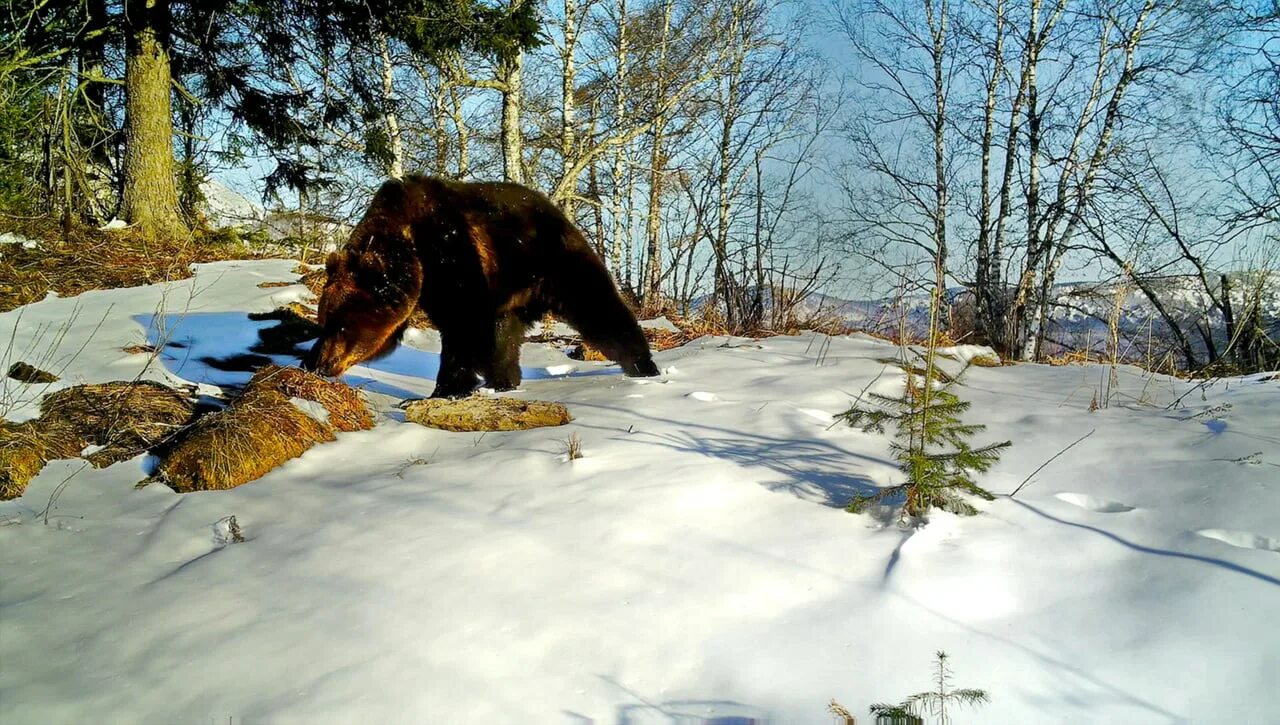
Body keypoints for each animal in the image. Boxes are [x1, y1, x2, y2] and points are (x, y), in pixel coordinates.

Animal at [302, 174, 660, 397]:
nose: (318, 363)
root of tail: (555, 209)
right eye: (324, 321)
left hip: (554, 262)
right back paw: (504, 380)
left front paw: (446, 389)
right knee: (505, 337)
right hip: (511, 293)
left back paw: (645, 366)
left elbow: (462, 328)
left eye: (343, 325)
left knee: (598, 306)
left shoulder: (453, 254)